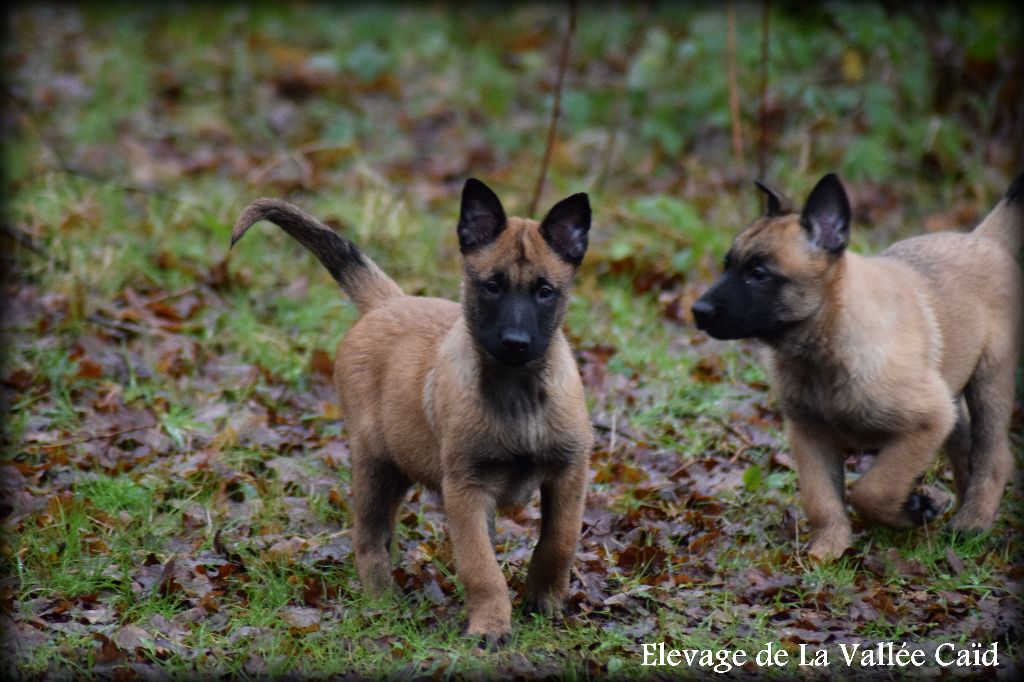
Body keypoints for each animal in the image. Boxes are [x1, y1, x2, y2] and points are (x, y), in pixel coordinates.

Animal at [231, 179, 594, 642]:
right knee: (369, 536)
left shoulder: (569, 470)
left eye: (545, 292)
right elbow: (481, 567)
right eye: (491, 286)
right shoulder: (465, 488)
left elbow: (559, 542)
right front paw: (491, 626)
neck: (518, 393)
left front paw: (544, 603)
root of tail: (388, 302)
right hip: (375, 463)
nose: (515, 343)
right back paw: (382, 602)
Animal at [692, 172, 1022, 561]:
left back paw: (972, 522)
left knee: (994, 455)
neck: (824, 349)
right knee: (965, 449)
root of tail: (983, 238)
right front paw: (828, 549)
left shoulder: (926, 422)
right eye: (727, 265)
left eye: (758, 273)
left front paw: (908, 512)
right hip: (951, 398)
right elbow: (821, 499)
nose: (697, 310)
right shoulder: (809, 435)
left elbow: (873, 489)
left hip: (989, 381)